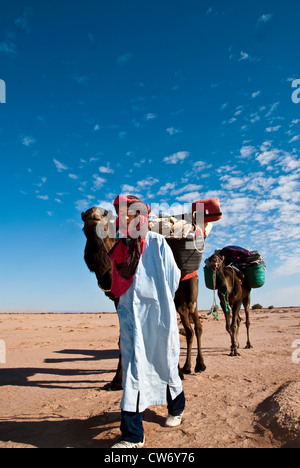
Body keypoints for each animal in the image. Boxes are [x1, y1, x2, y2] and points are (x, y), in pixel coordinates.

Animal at [81, 207, 205, 390]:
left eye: (105, 218)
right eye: (84, 219)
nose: (95, 213)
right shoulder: (118, 301)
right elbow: (124, 338)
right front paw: (116, 381)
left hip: (190, 295)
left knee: (196, 327)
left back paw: (198, 365)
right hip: (180, 301)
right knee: (189, 329)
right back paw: (187, 367)